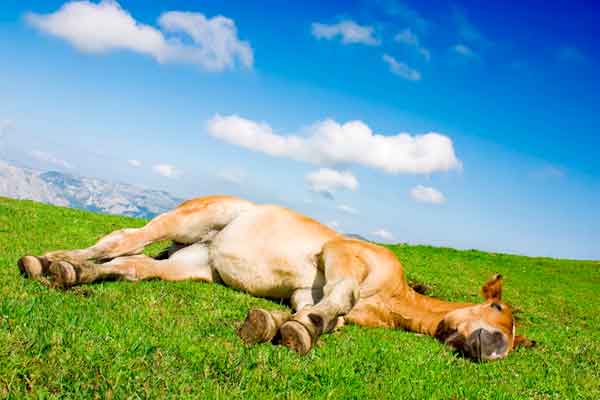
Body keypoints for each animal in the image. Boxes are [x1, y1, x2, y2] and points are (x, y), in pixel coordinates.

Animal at [17, 195, 536, 360]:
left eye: (514, 337)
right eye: (496, 307)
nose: (493, 348)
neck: (391, 297)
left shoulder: (306, 291)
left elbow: (325, 315)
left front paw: (282, 326)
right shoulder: (340, 254)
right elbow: (342, 296)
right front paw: (299, 329)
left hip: (190, 266)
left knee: (131, 266)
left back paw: (69, 271)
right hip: (186, 221)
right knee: (124, 239)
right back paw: (49, 261)